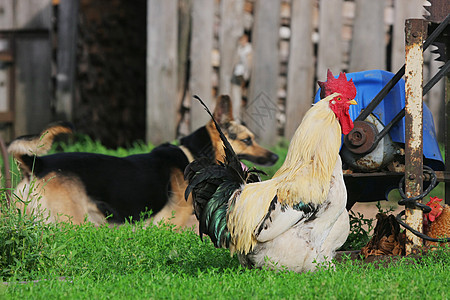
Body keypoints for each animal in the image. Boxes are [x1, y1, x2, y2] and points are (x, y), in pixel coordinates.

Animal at [7, 96, 278, 227]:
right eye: (248, 140)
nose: (275, 157)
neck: (192, 155)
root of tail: (36, 164)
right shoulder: (170, 223)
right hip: (69, 222)